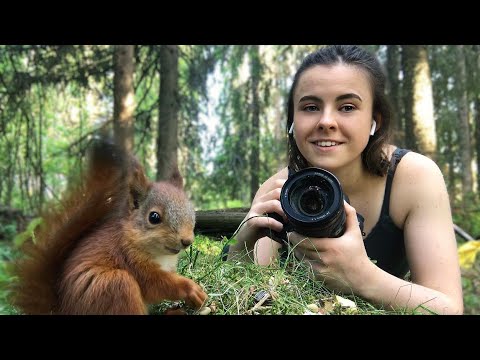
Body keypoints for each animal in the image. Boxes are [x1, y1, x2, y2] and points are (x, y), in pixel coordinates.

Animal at [10, 139, 207, 314]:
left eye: (191, 211)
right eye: (154, 217)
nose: (187, 241)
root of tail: (61, 310)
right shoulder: (130, 259)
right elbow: (157, 284)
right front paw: (191, 289)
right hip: (115, 286)